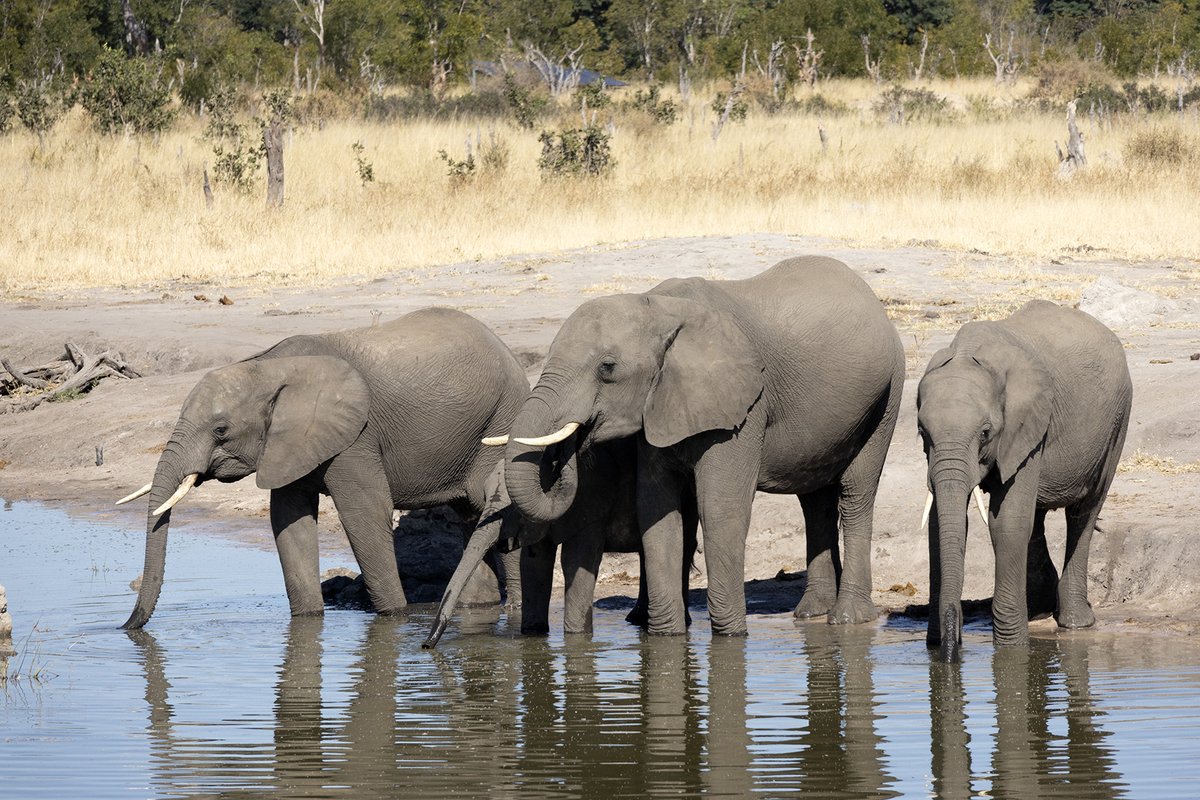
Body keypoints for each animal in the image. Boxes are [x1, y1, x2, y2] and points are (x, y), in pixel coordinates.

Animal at [118, 309, 530, 628]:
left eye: (221, 430)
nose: (126, 626)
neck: (268, 368)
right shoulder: (288, 443)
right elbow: (289, 521)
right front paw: (307, 622)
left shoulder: (356, 437)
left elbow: (364, 514)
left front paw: (395, 618)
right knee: (469, 513)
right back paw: (478, 607)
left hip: (504, 415)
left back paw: (514, 609)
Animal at [427, 434, 700, 647]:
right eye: (484, 496)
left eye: (513, 507)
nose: (427, 644)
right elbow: (534, 566)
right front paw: (533, 633)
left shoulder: (591, 501)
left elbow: (574, 560)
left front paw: (576, 637)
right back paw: (636, 620)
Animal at [472, 256, 902, 638]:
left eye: (607, 367)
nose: (569, 448)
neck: (656, 307)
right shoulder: (658, 407)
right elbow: (657, 508)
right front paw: (666, 638)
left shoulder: (744, 405)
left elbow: (721, 508)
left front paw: (730, 638)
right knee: (814, 500)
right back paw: (811, 613)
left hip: (887, 394)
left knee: (856, 494)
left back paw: (846, 619)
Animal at [916, 297, 1132, 662]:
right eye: (922, 432)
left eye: (985, 433)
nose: (951, 651)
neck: (969, 352)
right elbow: (941, 524)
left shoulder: (1028, 426)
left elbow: (1007, 521)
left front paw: (1011, 647)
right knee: (1038, 517)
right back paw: (1038, 610)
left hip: (1118, 419)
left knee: (1084, 513)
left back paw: (1075, 623)